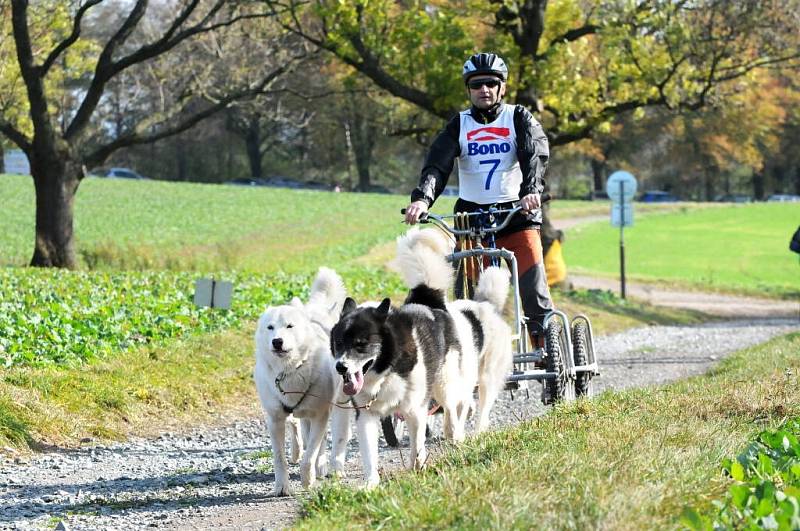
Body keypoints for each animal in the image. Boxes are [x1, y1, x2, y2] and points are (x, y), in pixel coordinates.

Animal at [255, 268, 346, 496]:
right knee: (298, 427)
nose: (277, 341)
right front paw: (282, 486)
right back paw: (297, 453)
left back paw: (320, 467)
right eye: (270, 327)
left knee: (317, 441)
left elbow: (311, 453)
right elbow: (279, 458)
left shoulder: (320, 414)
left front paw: (308, 479)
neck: (290, 370)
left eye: (290, 326)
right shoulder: (275, 419)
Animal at [332, 228, 512, 486]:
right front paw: (370, 484)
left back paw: (455, 433)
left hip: (446, 382)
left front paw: (418, 466)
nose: (341, 367)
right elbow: (369, 453)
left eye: (361, 344)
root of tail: (428, 301)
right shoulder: (366, 415)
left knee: (453, 409)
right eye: (338, 343)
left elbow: (417, 444)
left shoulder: (415, 409)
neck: (386, 371)